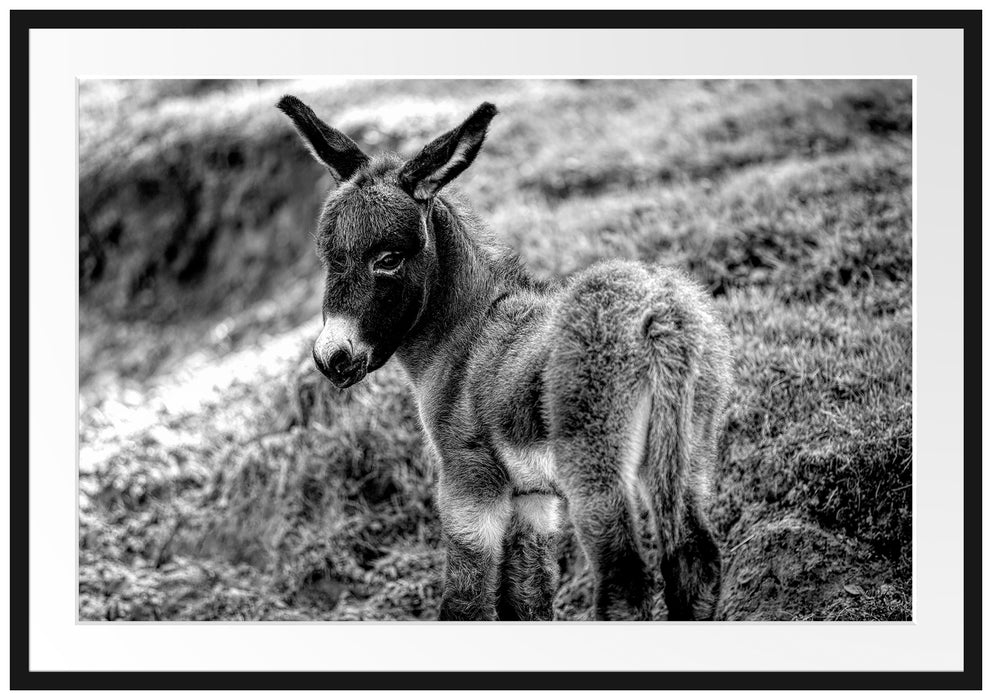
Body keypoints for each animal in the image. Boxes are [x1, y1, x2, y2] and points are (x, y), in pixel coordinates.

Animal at [276, 95, 732, 620]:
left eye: (387, 259)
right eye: (327, 256)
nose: (332, 358)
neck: (465, 337)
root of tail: (659, 312)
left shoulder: (468, 484)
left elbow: (465, 601)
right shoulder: (533, 500)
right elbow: (527, 599)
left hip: (596, 474)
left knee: (624, 586)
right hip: (687, 457)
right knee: (695, 564)